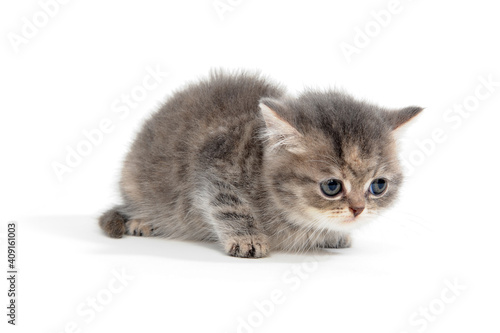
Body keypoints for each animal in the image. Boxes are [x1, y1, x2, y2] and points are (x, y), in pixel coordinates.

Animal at [98, 70, 422, 256]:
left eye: (378, 186)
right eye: (331, 186)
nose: (358, 209)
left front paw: (331, 235)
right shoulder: (215, 165)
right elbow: (228, 204)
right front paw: (248, 238)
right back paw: (142, 220)